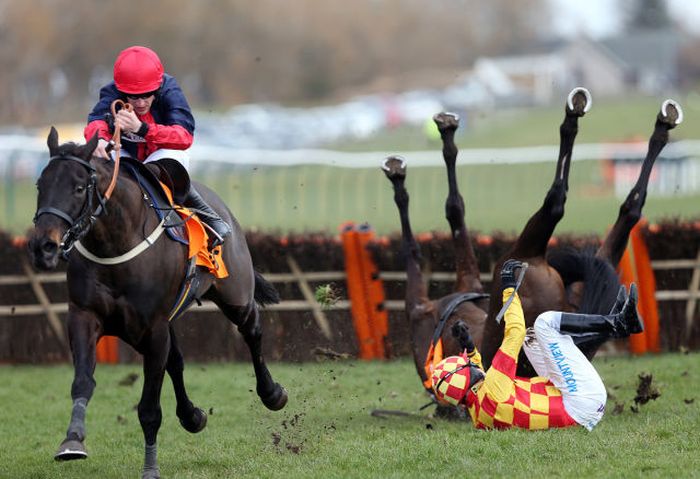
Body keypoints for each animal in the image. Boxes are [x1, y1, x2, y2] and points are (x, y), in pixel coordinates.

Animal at [28, 128, 288, 479]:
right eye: (40, 185)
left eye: (79, 187)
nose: (43, 246)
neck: (115, 246)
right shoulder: (85, 316)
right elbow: (83, 381)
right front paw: (72, 441)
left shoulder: (152, 329)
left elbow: (149, 408)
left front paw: (150, 468)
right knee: (176, 361)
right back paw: (192, 416)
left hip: (236, 295)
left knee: (252, 331)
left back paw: (272, 393)